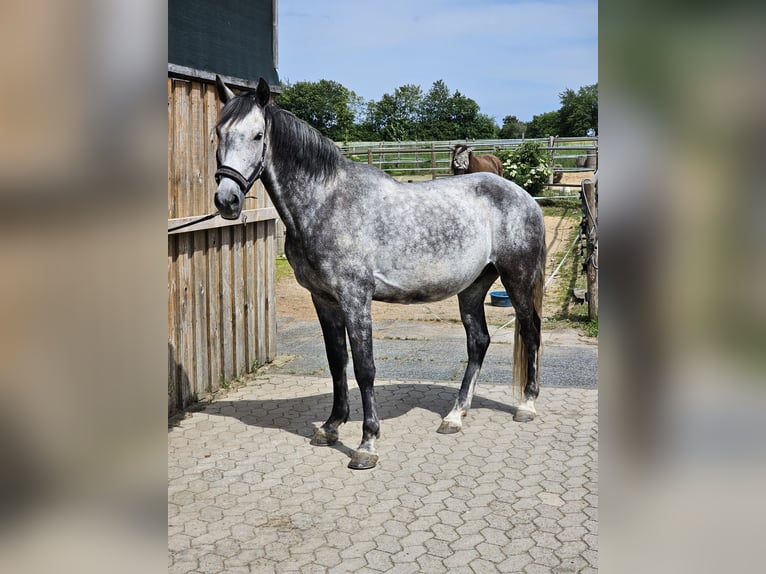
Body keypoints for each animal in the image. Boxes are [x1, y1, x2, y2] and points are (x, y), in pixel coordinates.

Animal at [213, 77, 546, 470]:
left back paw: (527, 406)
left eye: (258, 135)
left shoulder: (355, 298)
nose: (226, 200)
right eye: (218, 133)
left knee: (531, 330)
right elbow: (337, 362)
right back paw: (455, 416)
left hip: (518, 279)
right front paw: (331, 427)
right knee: (478, 341)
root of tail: (523, 196)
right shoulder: (324, 299)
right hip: (473, 287)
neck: (327, 202)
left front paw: (367, 444)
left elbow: (364, 367)